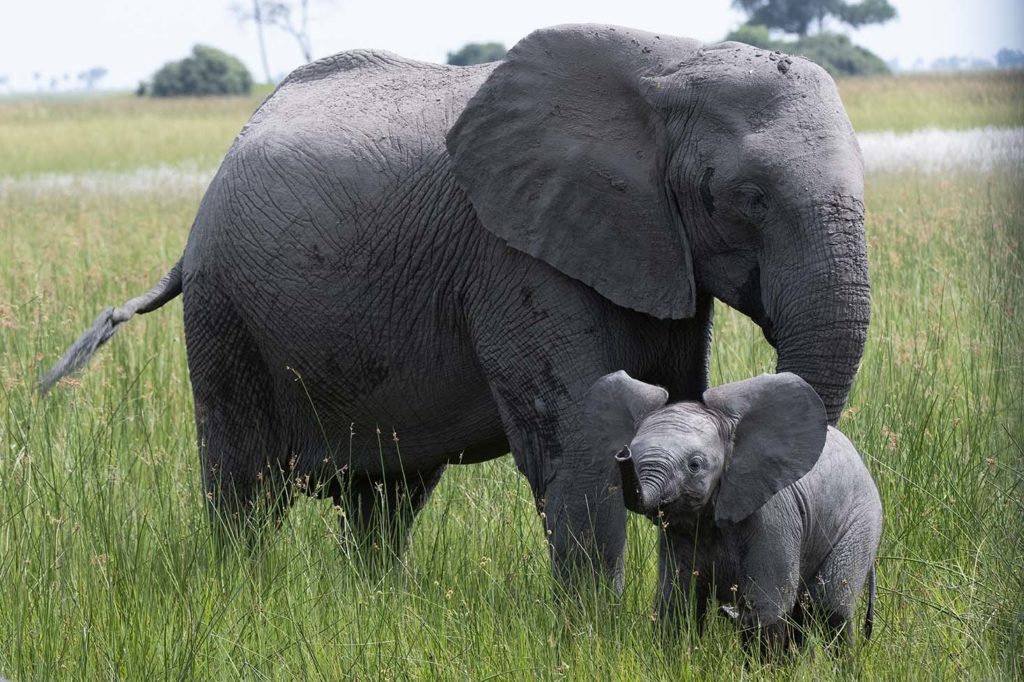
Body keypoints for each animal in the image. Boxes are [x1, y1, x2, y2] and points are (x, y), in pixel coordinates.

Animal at [41, 26, 872, 589]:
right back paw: (243, 594)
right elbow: (577, 430)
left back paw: (376, 604)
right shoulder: (512, 253)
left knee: (385, 496)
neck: (673, 63)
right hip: (225, 310)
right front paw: (593, 639)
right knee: (244, 484)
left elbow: (672, 398)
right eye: (747, 198)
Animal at [589, 368, 884, 651]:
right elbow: (679, 603)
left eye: (695, 465)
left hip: (862, 522)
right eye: (631, 454)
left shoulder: (773, 515)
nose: (623, 454)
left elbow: (767, 606)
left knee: (829, 606)